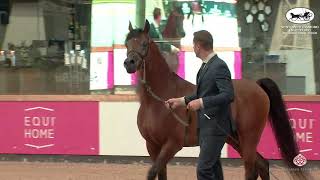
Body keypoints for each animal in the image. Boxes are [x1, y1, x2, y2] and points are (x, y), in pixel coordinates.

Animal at [123, 20, 308, 180]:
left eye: (144, 43)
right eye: (126, 44)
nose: (129, 63)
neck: (158, 101)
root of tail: (257, 86)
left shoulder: (172, 144)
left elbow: (152, 173)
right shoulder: (152, 146)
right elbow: (160, 173)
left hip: (249, 137)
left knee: (251, 168)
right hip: (234, 139)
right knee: (262, 165)